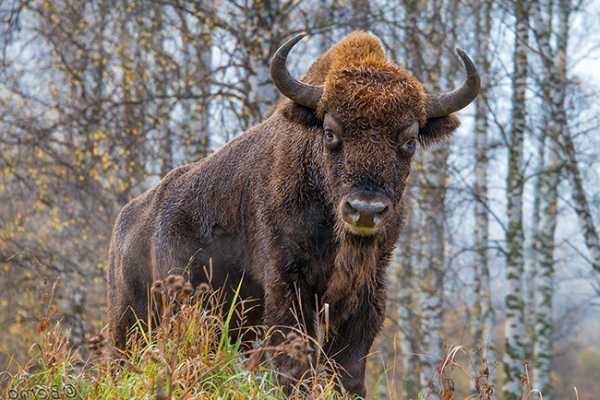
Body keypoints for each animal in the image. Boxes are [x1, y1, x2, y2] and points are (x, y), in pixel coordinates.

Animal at [105, 31, 476, 396]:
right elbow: (294, 362)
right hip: (134, 319)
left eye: (409, 140)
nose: (365, 209)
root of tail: (126, 221)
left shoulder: (368, 292)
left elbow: (348, 369)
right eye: (330, 132)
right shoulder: (288, 283)